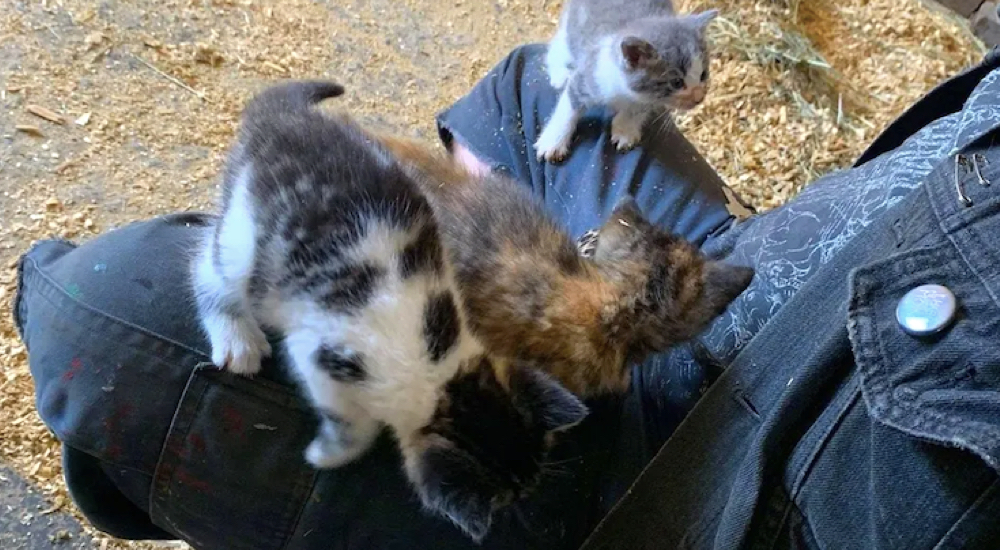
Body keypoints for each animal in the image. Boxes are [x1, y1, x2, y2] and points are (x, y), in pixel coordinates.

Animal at [188, 82, 588, 544]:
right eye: (510, 496)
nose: (528, 494)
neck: (438, 374)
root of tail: (281, 116)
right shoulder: (319, 357)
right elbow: (350, 422)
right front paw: (328, 453)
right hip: (245, 237)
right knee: (206, 266)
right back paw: (236, 338)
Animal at [540, 0, 720, 163]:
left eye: (703, 74)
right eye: (676, 82)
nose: (699, 98)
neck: (624, 90)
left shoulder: (647, 98)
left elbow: (639, 108)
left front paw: (625, 128)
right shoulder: (589, 76)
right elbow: (569, 108)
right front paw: (554, 141)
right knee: (560, 42)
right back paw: (560, 73)